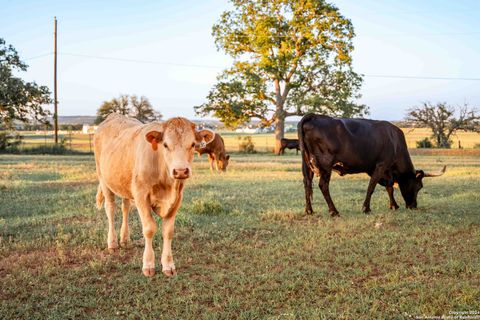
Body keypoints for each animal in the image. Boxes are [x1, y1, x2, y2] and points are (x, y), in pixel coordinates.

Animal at [94, 114, 214, 276]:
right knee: (111, 209)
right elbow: (149, 229)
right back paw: (112, 243)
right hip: (104, 180)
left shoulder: (177, 199)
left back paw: (125, 239)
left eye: (193, 144)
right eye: (165, 145)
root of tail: (114, 115)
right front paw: (148, 265)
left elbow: (168, 231)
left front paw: (168, 265)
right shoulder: (141, 195)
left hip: (125, 184)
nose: (180, 171)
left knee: (125, 208)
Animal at [296, 114, 446, 216]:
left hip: (307, 164)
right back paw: (334, 211)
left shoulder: (383, 170)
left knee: (307, 184)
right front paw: (366, 208)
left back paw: (309, 210)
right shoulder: (381, 165)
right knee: (323, 185)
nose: (413, 206)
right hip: (326, 163)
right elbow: (372, 186)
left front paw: (393, 205)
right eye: (419, 186)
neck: (395, 142)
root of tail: (314, 116)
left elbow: (389, 188)